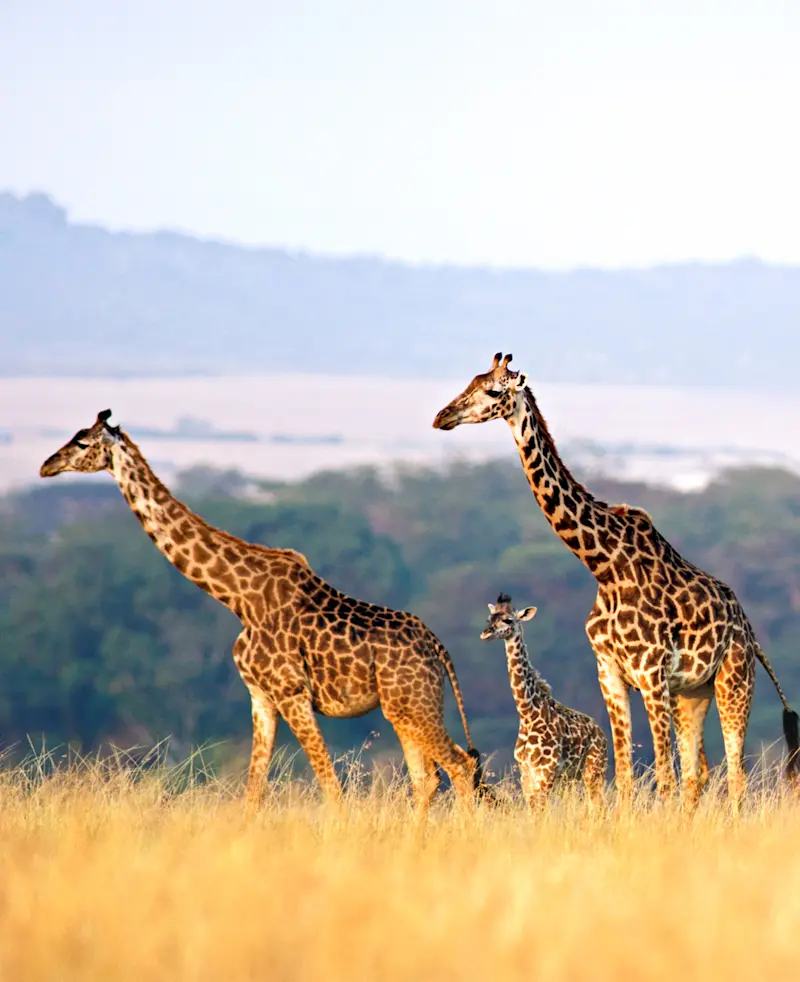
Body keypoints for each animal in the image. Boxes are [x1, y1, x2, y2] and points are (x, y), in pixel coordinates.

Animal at [39, 409, 489, 815]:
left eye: (82, 443)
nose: (47, 466)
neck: (237, 598)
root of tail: (438, 649)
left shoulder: (291, 692)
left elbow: (330, 785)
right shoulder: (260, 696)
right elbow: (254, 792)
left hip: (411, 703)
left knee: (460, 766)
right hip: (404, 708)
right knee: (428, 778)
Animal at [480, 593, 607, 809]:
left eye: (508, 620)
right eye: (489, 619)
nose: (485, 634)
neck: (527, 714)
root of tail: (602, 734)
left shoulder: (546, 772)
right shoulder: (526, 774)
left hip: (594, 771)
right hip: (571, 778)